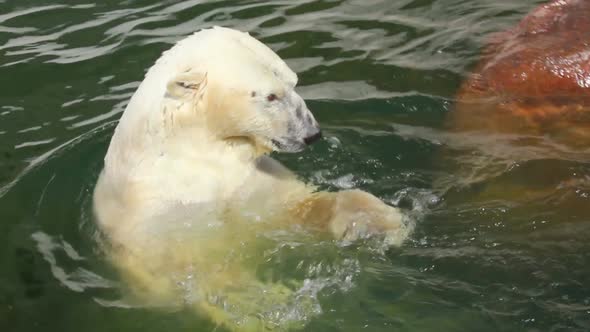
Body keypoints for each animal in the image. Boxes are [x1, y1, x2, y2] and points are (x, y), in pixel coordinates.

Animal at [93, 26, 412, 330]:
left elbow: (295, 208)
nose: (312, 134)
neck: (194, 156)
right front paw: (265, 307)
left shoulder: (249, 185)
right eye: (270, 95)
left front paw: (379, 222)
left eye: (294, 82)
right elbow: (198, 272)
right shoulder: (162, 219)